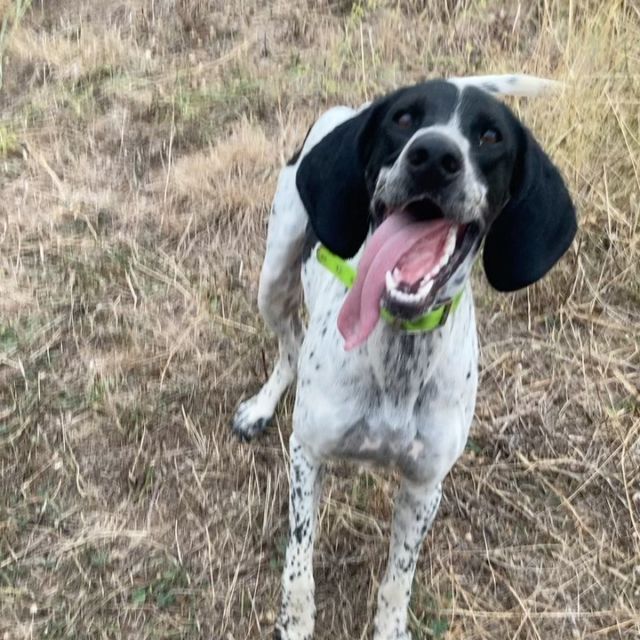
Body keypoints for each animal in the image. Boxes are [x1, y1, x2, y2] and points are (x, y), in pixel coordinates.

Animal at [232, 74, 576, 640]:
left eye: (490, 137)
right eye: (403, 119)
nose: (434, 155)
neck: (399, 350)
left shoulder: (423, 487)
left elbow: (399, 576)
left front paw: (391, 626)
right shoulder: (307, 455)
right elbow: (299, 562)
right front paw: (296, 622)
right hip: (272, 276)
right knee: (288, 347)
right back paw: (262, 405)